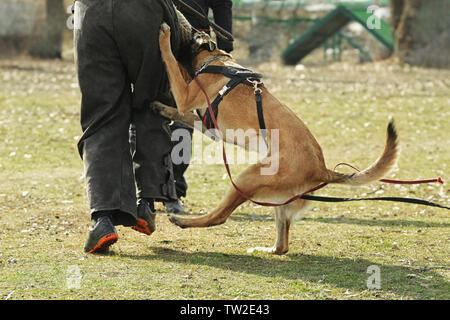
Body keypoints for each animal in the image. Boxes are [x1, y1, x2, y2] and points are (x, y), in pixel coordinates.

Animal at [158, 23, 398, 255]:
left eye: (189, 34)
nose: (181, 25)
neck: (215, 60)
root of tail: (322, 169)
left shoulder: (186, 96)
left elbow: (171, 62)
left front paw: (164, 39)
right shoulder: (206, 125)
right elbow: (180, 111)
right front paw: (162, 109)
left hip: (247, 178)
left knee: (220, 216)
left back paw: (183, 221)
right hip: (278, 196)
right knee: (283, 244)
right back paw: (268, 249)